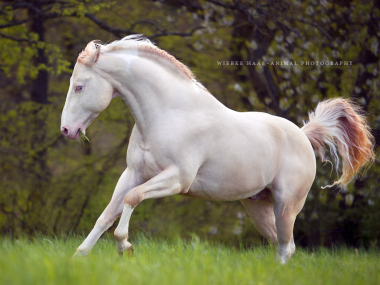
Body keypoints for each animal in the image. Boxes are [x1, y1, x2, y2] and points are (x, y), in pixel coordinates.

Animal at [61, 34, 374, 262]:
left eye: (79, 87)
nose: (66, 131)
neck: (170, 113)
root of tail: (302, 135)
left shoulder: (177, 179)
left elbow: (132, 199)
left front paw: (125, 246)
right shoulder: (132, 174)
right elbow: (107, 214)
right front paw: (79, 256)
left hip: (287, 205)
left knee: (287, 247)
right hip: (258, 207)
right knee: (282, 246)